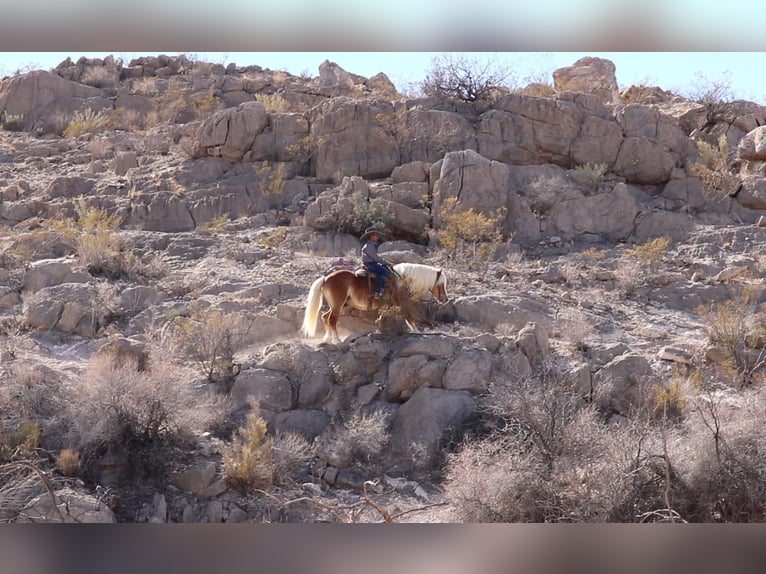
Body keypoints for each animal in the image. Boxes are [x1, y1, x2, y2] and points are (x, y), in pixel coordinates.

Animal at [302, 264, 450, 344]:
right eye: (441, 284)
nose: (445, 299)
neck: (402, 280)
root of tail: (326, 278)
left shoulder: (389, 306)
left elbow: (386, 318)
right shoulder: (400, 303)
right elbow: (409, 318)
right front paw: (417, 331)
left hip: (339, 306)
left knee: (325, 317)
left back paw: (327, 338)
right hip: (338, 306)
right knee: (331, 320)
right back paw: (337, 340)